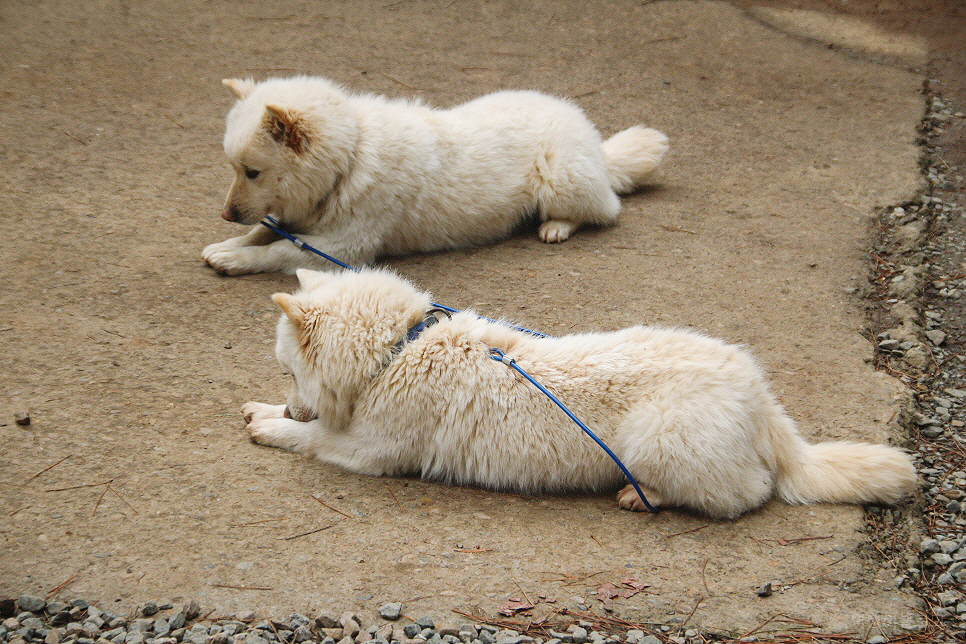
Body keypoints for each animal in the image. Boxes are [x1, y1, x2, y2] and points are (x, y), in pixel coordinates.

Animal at [202, 76, 672, 276]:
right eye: (234, 169)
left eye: (253, 171)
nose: (224, 215)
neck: (349, 158)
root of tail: (595, 143)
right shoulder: (297, 218)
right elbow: (264, 231)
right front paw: (229, 245)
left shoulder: (345, 250)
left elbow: (278, 249)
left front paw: (236, 259)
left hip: (561, 179)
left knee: (605, 209)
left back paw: (557, 226)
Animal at [240, 270, 916, 520]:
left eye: (288, 369)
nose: (291, 400)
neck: (398, 350)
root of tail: (762, 400)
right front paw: (266, 411)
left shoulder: (368, 451)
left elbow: (312, 437)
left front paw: (275, 424)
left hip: (658, 438)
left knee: (745, 494)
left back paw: (643, 496)